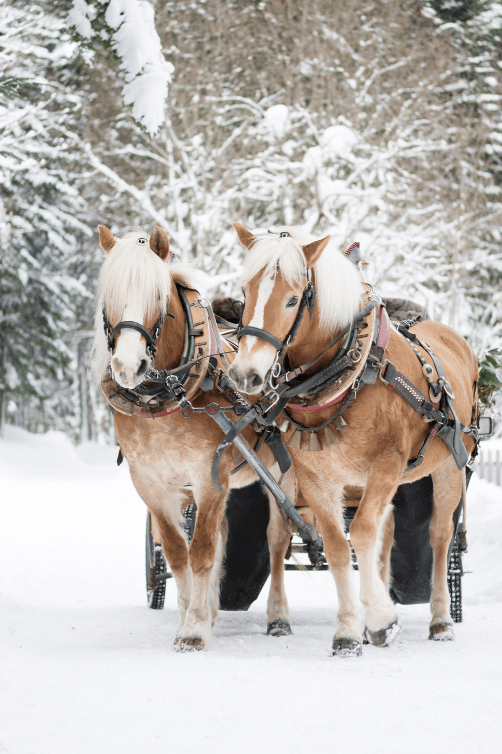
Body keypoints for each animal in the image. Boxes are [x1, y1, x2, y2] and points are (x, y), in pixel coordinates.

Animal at [91, 225, 295, 650]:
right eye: (109, 298)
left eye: (157, 297)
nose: (128, 366)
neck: (165, 396)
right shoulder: (151, 483)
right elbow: (176, 553)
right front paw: (190, 614)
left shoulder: (208, 476)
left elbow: (201, 551)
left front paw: (194, 629)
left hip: (281, 475)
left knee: (276, 540)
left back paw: (278, 616)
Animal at [228, 222, 478, 656]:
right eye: (245, 292)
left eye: (293, 299)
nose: (246, 375)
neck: (352, 372)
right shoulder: (317, 477)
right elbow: (338, 546)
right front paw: (348, 630)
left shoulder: (387, 464)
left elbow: (361, 533)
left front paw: (380, 617)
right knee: (380, 535)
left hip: (449, 467)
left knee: (439, 536)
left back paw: (441, 620)